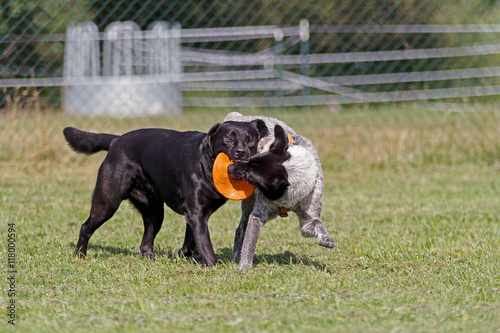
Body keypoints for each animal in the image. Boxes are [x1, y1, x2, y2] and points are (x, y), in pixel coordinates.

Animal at [63, 120, 268, 266]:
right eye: (228, 138)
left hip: (155, 212)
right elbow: (205, 243)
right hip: (107, 203)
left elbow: (191, 242)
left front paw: (177, 255)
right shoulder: (196, 214)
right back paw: (79, 255)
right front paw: (213, 265)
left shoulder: (197, 215)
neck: (206, 163)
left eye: (250, 139)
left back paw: (151, 260)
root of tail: (116, 141)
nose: (241, 151)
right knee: (85, 227)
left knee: (145, 243)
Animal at [224, 112, 334, 270]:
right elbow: (249, 244)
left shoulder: (307, 223)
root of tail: (239, 116)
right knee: (241, 230)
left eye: (249, 176)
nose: (229, 168)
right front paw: (244, 266)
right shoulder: (257, 216)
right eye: (252, 158)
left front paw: (326, 238)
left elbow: (319, 224)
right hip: (247, 206)